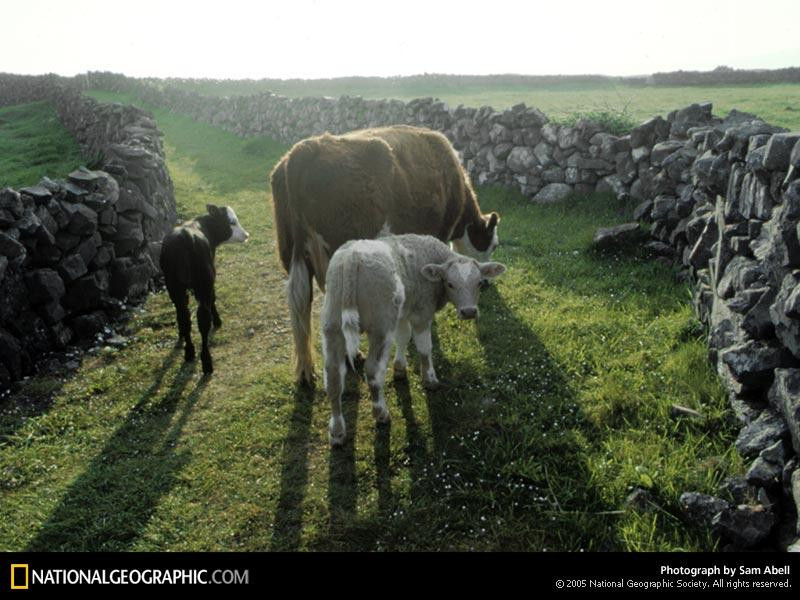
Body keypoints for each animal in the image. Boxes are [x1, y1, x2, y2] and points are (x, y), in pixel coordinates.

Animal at [161, 206, 248, 376]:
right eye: (232, 222)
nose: (246, 235)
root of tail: (186, 236)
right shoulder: (211, 280)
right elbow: (213, 298)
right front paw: (218, 320)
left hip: (174, 287)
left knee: (184, 317)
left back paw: (189, 351)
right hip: (204, 283)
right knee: (203, 319)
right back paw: (207, 363)